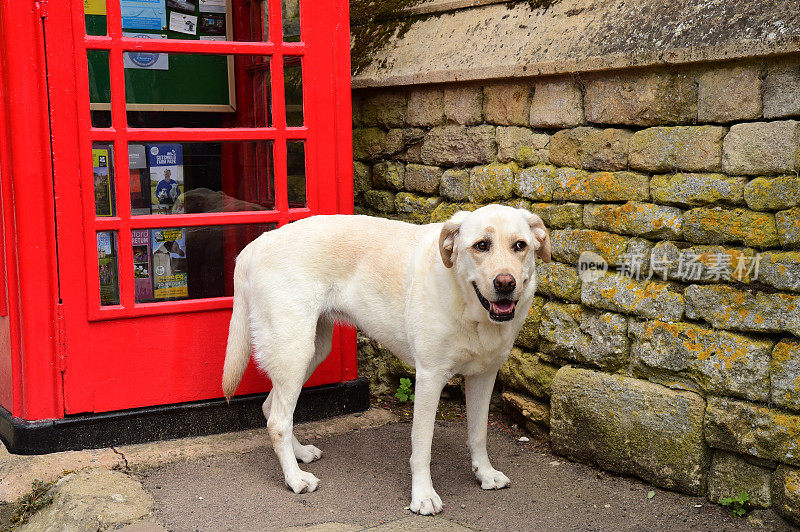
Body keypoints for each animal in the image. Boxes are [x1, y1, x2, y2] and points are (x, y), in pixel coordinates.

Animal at [223, 205, 552, 516]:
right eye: (481, 245)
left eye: (520, 245)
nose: (505, 283)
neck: (469, 304)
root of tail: (259, 242)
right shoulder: (429, 378)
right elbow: (422, 444)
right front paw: (423, 496)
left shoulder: (484, 376)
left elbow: (479, 433)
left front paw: (484, 473)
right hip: (294, 350)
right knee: (278, 421)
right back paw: (295, 478)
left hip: (312, 351)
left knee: (272, 408)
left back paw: (300, 453)